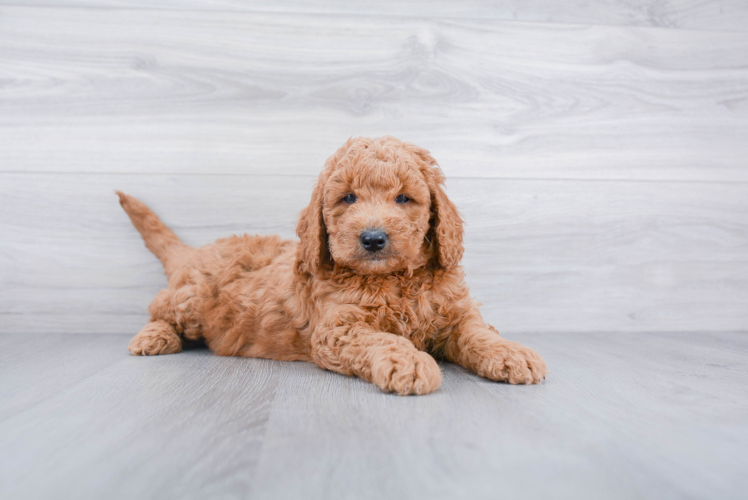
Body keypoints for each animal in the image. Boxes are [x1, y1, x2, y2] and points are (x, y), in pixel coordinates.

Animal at [118, 136, 548, 394]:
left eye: (404, 198)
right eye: (348, 198)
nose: (373, 239)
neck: (394, 280)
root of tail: (194, 252)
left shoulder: (455, 314)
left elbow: (480, 333)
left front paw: (511, 353)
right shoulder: (338, 328)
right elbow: (382, 339)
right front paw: (408, 361)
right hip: (191, 299)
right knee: (159, 306)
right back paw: (153, 337)